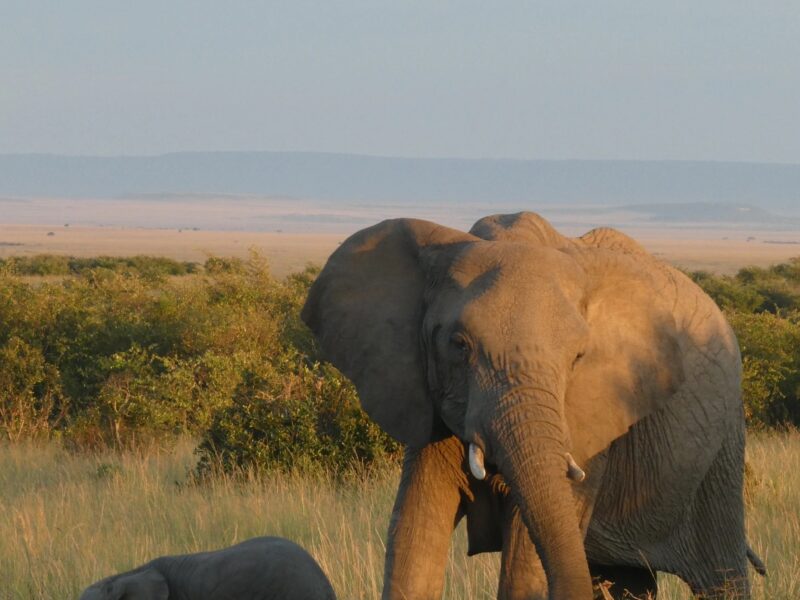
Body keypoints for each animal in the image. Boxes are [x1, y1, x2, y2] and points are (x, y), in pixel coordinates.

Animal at [301, 212, 765, 600]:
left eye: (578, 357)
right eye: (459, 345)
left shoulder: (590, 415)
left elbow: (525, 559)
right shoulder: (425, 397)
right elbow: (413, 539)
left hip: (721, 448)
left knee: (721, 576)